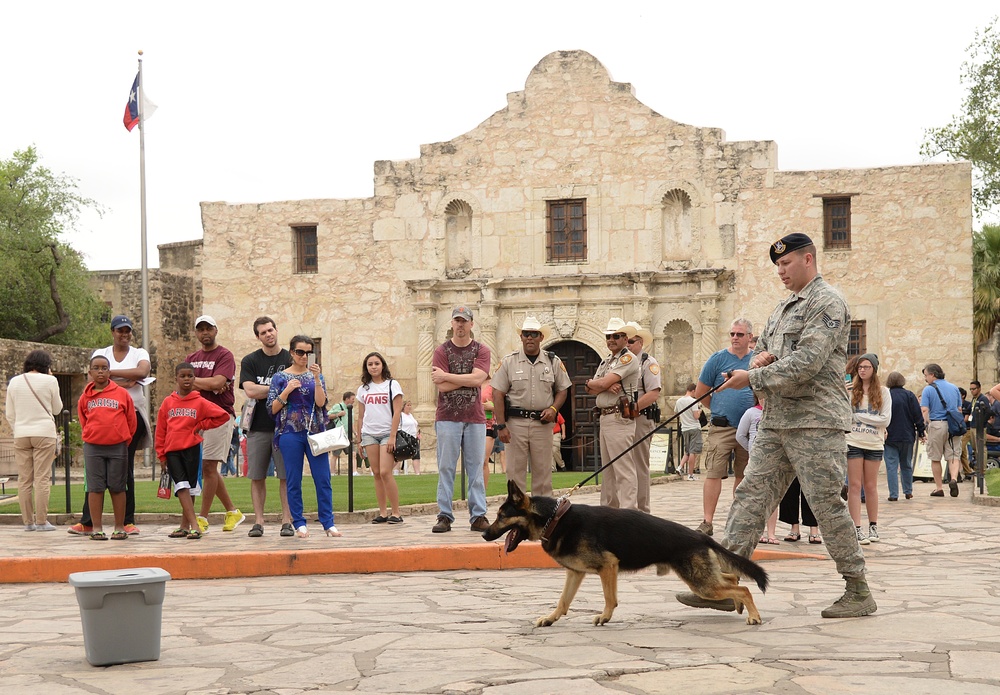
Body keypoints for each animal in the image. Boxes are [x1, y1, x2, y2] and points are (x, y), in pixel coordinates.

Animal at [480, 484, 768, 624]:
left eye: (501, 516)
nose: (482, 535)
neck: (555, 518)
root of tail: (700, 536)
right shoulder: (575, 573)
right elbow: (563, 601)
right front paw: (551, 619)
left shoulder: (608, 567)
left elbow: (610, 598)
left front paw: (605, 617)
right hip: (704, 580)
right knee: (732, 580)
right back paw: (739, 606)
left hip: (702, 583)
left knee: (743, 588)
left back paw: (753, 615)